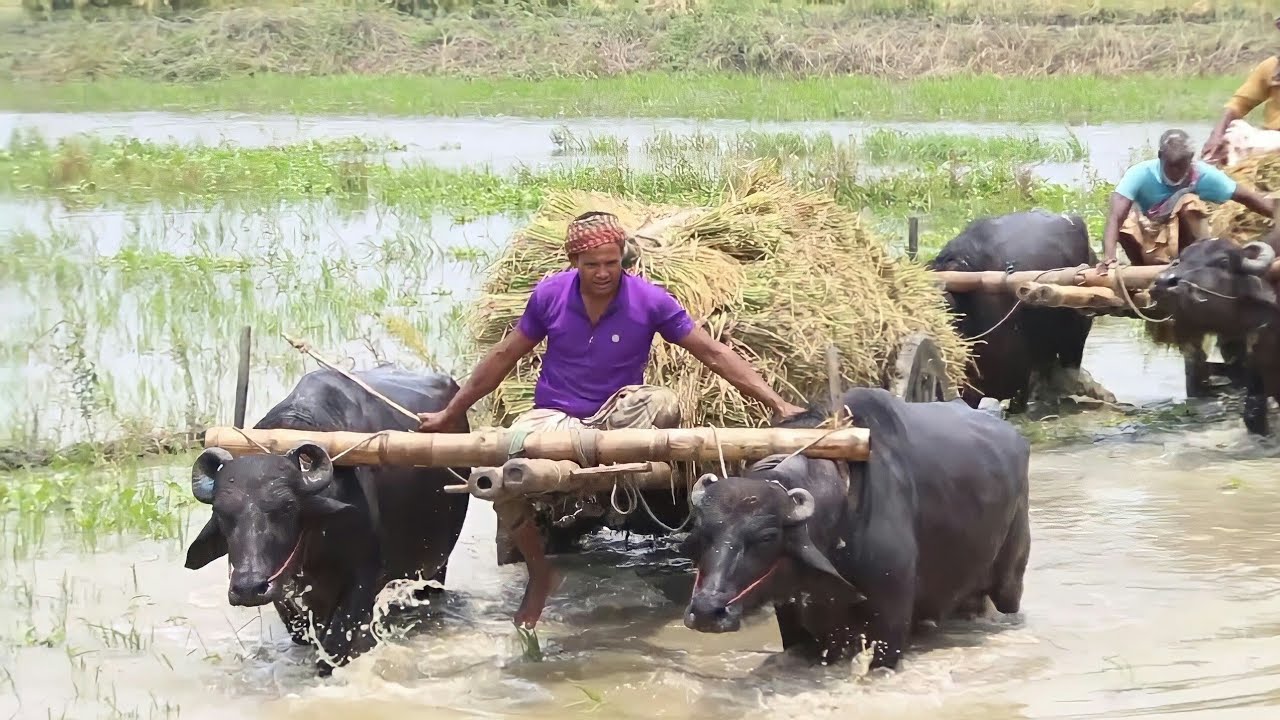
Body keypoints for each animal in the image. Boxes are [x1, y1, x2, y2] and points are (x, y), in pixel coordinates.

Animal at [183, 365, 471, 674]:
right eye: (221, 512)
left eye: (287, 507)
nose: (249, 588)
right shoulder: (287, 592)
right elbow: (302, 632)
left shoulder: (364, 578)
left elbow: (334, 645)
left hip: (437, 565)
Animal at [681, 387, 1030, 671]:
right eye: (701, 534)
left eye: (767, 537)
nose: (707, 611)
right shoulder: (792, 621)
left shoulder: (890, 627)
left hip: (1010, 581)